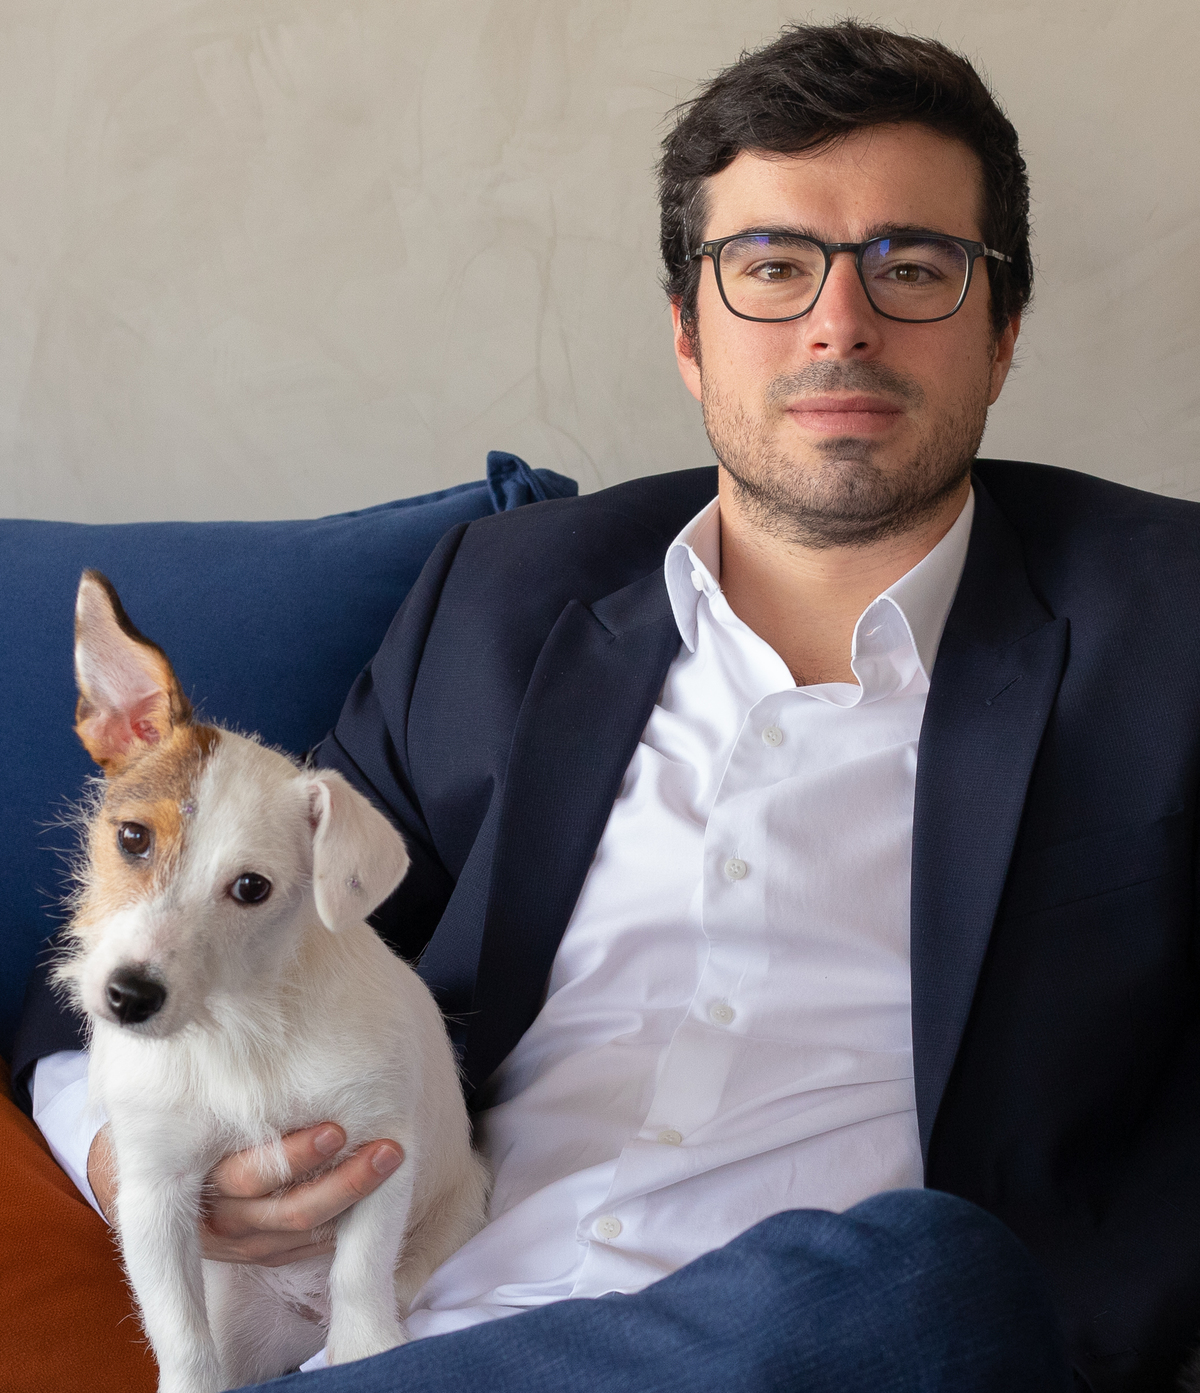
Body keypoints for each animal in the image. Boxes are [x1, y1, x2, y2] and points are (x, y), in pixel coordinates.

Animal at [54, 570, 488, 1393]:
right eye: (133, 837)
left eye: (251, 888)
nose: (129, 997)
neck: (237, 1028)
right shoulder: (154, 1192)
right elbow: (182, 1337)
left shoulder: (381, 1150)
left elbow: (359, 1271)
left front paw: (366, 1349)